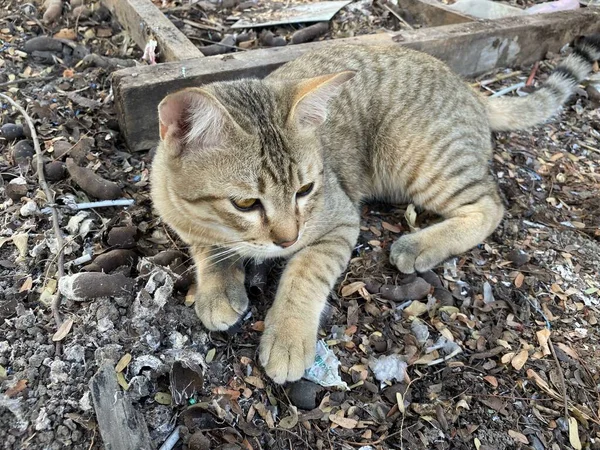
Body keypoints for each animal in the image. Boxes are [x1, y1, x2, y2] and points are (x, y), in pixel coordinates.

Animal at [150, 34, 600, 384]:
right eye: (245, 203)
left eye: (305, 190)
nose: (288, 239)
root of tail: (468, 88)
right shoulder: (181, 216)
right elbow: (207, 246)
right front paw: (219, 284)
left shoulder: (340, 222)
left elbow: (304, 274)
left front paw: (288, 335)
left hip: (422, 161)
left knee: (490, 204)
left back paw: (418, 245)